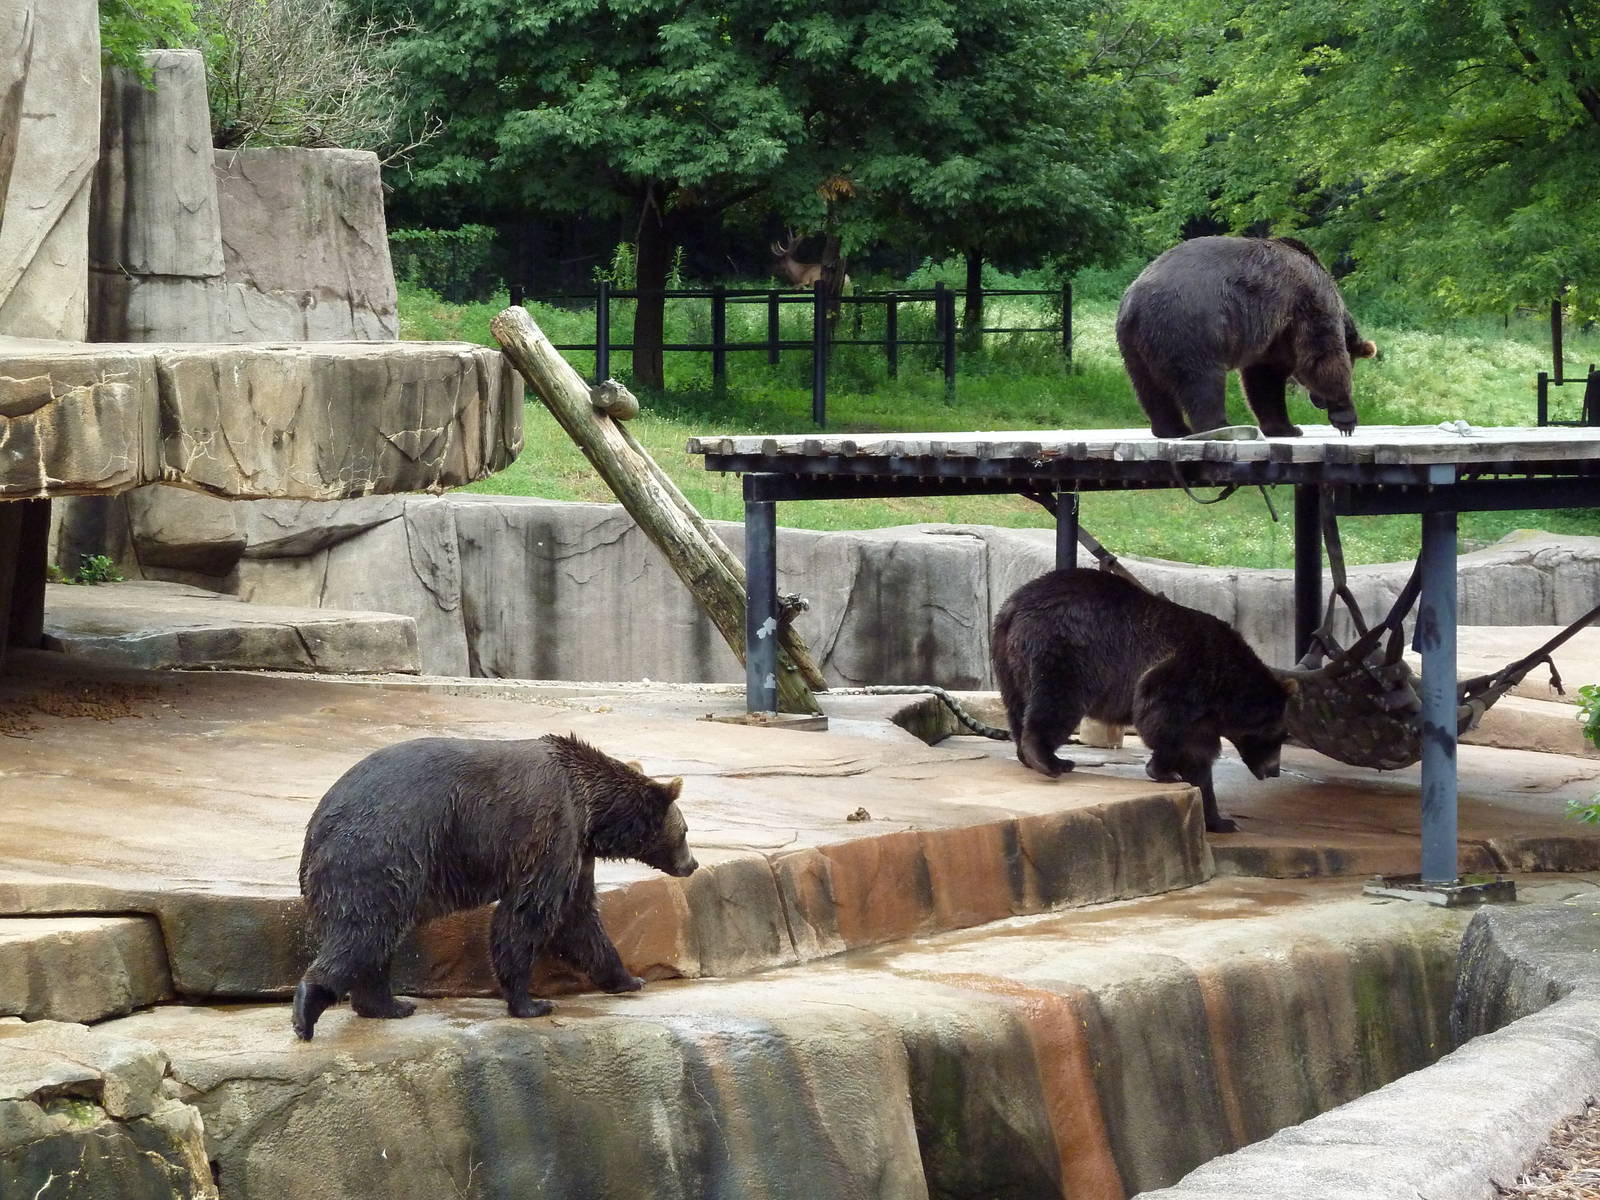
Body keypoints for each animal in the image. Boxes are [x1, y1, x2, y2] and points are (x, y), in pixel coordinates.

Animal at [291, 732, 698, 1040]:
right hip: (383, 852)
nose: (692, 864)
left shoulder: (577, 852)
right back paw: (309, 1009)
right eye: (685, 831)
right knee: (364, 931)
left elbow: (579, 918)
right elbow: (529, 914)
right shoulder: (552, 831)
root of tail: (315, 827)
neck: (592, 812)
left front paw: (628, 978)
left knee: (374, 941)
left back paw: (389, 1005)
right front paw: (531, 1002)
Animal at [991, 568, 1295, 834]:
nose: (1274, 771)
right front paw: (1164, 770)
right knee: (1057, 699)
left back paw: (1028, 754)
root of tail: (1014, 606)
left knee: (1017, 705)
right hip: (1064, 647)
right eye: (1278, 735)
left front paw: (1220, 821)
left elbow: (1200, 760)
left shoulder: (1205, 716)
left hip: (1007, 659)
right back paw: (1050, 760)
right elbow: (1161, 717)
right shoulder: (1188, 673)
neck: (1224, 692)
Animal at [1115, 235, 1377, 439]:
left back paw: (1173, 428)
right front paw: (1345, 417)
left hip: (1134, 345)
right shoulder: (1307, 304)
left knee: (1149, 387)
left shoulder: (1274, 337)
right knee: (1202, 381)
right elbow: (1321, 356)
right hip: (1191, 325)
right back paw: (1219, 426)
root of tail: (1135, 303)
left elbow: (1264, 380)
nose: (1317, 401)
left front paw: (1286, 428)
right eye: (1353, 363)